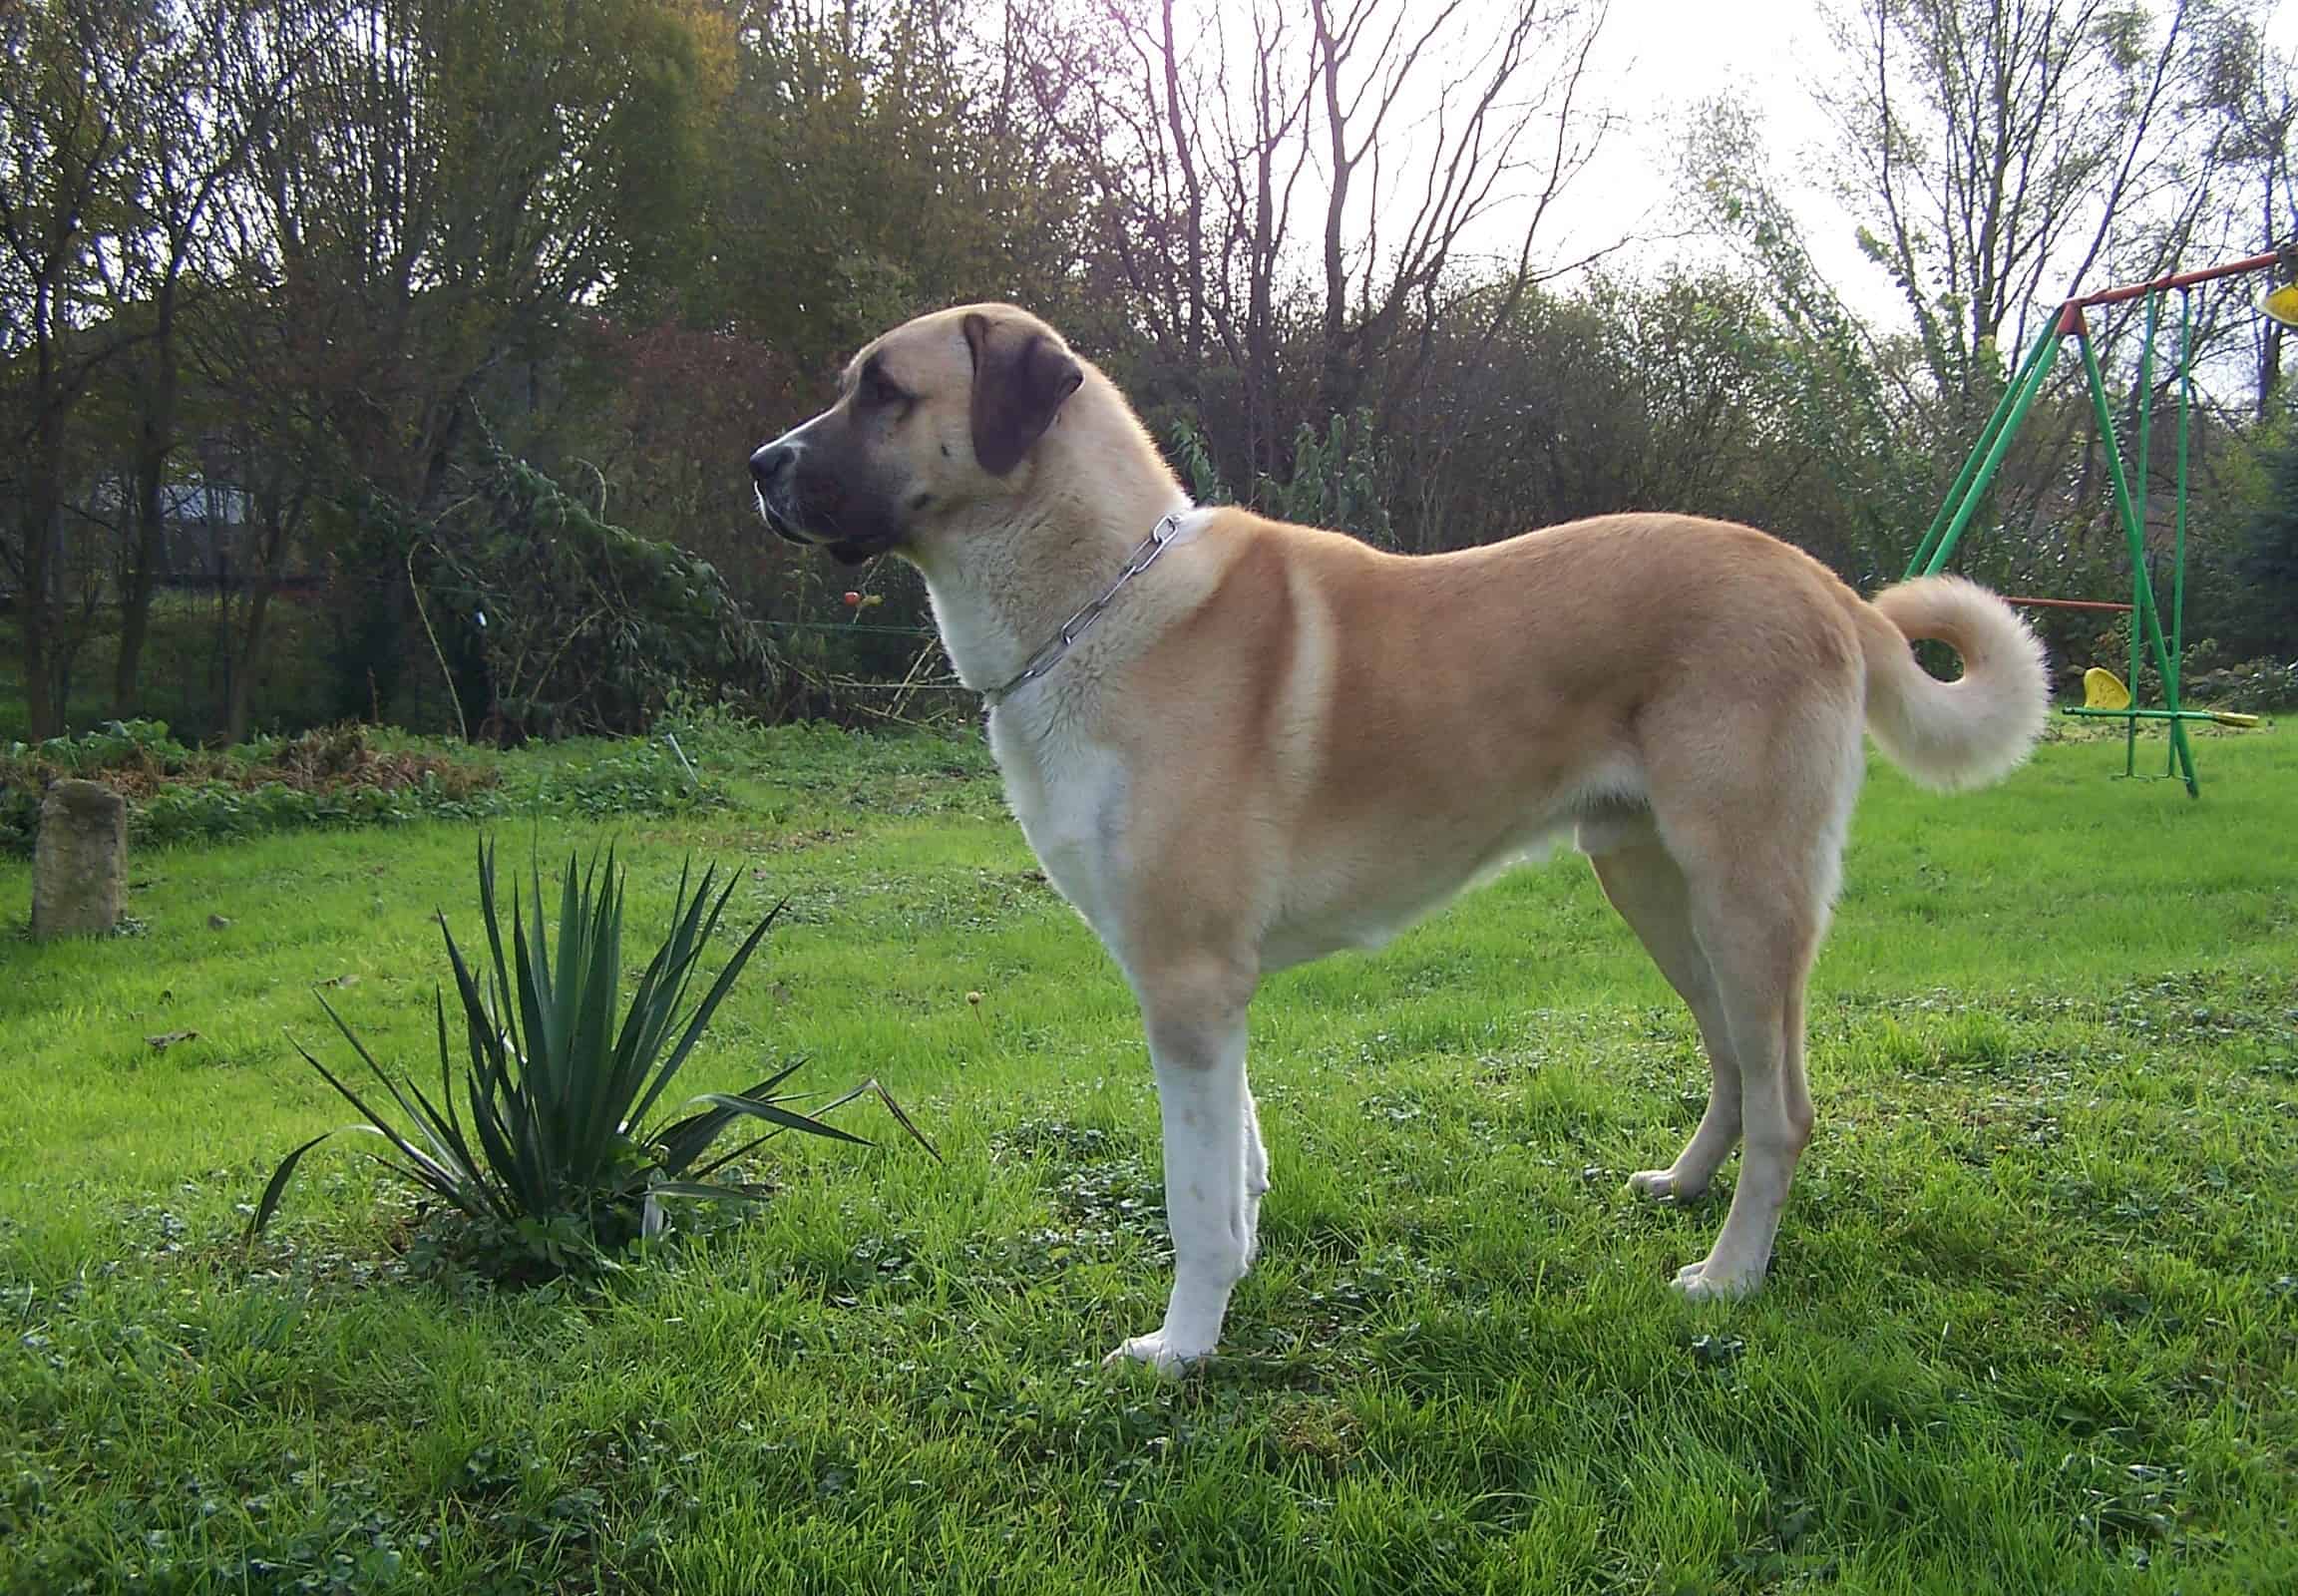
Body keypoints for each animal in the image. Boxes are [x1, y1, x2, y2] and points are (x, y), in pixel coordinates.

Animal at [749, 303, 2050, 1380]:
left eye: (885, 391)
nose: (760, 467)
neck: (1099, 602)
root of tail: (1827, 584)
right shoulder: (1208, 995)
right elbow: (1238, 1163)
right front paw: (1234, 1284)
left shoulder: (1186, 982)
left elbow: (1191, 1197)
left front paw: (1180, 1348)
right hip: (1653, 887)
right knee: (1733, 1062)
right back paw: (1681, 1187)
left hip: (1747, 896)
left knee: (1785, 1106)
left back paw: (1728, 1275)